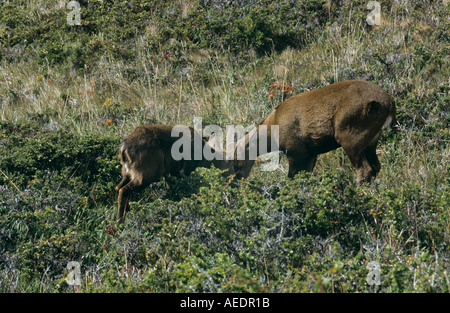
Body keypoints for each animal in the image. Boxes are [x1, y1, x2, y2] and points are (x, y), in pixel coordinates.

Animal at [234, 79, 396, 184]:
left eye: (238, 163)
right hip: (371, 139)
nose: (235, 182)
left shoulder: (295, 150)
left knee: (364, 169)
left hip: (350, 135)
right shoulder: (311, 153)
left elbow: (292, 178)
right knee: (376, 166)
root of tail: (389, 103)